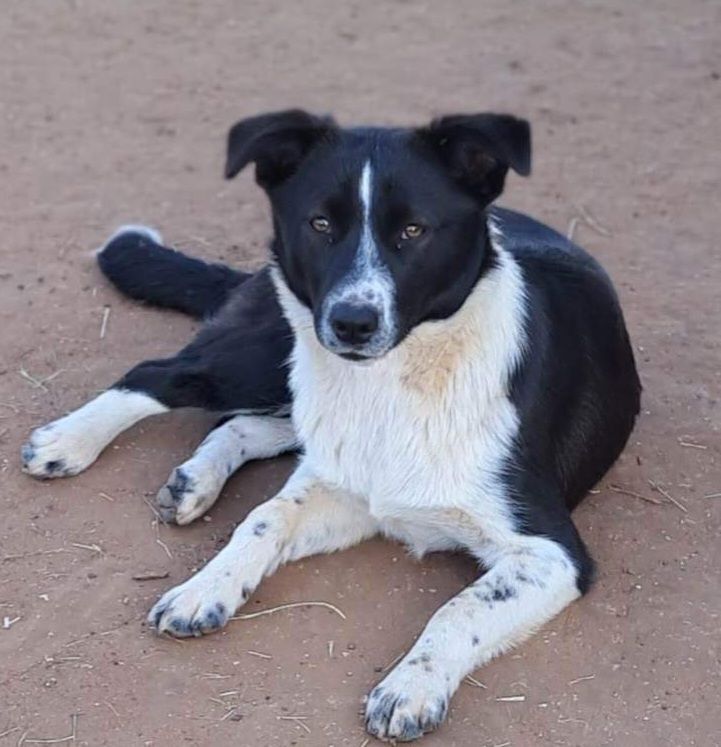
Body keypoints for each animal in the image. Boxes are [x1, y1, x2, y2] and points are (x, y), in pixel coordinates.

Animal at [21, 109, 640, 744]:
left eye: (414, 230)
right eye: (320, 224)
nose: (352, 322)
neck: (393, 385)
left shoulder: (550, 553)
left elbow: (458, 607)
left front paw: (411, 685)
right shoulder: (353, 488)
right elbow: (265, 517)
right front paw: (204, 588)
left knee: (244, 425)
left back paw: (193, 480)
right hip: (265, 353)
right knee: (162, 375)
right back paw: (70, 441)